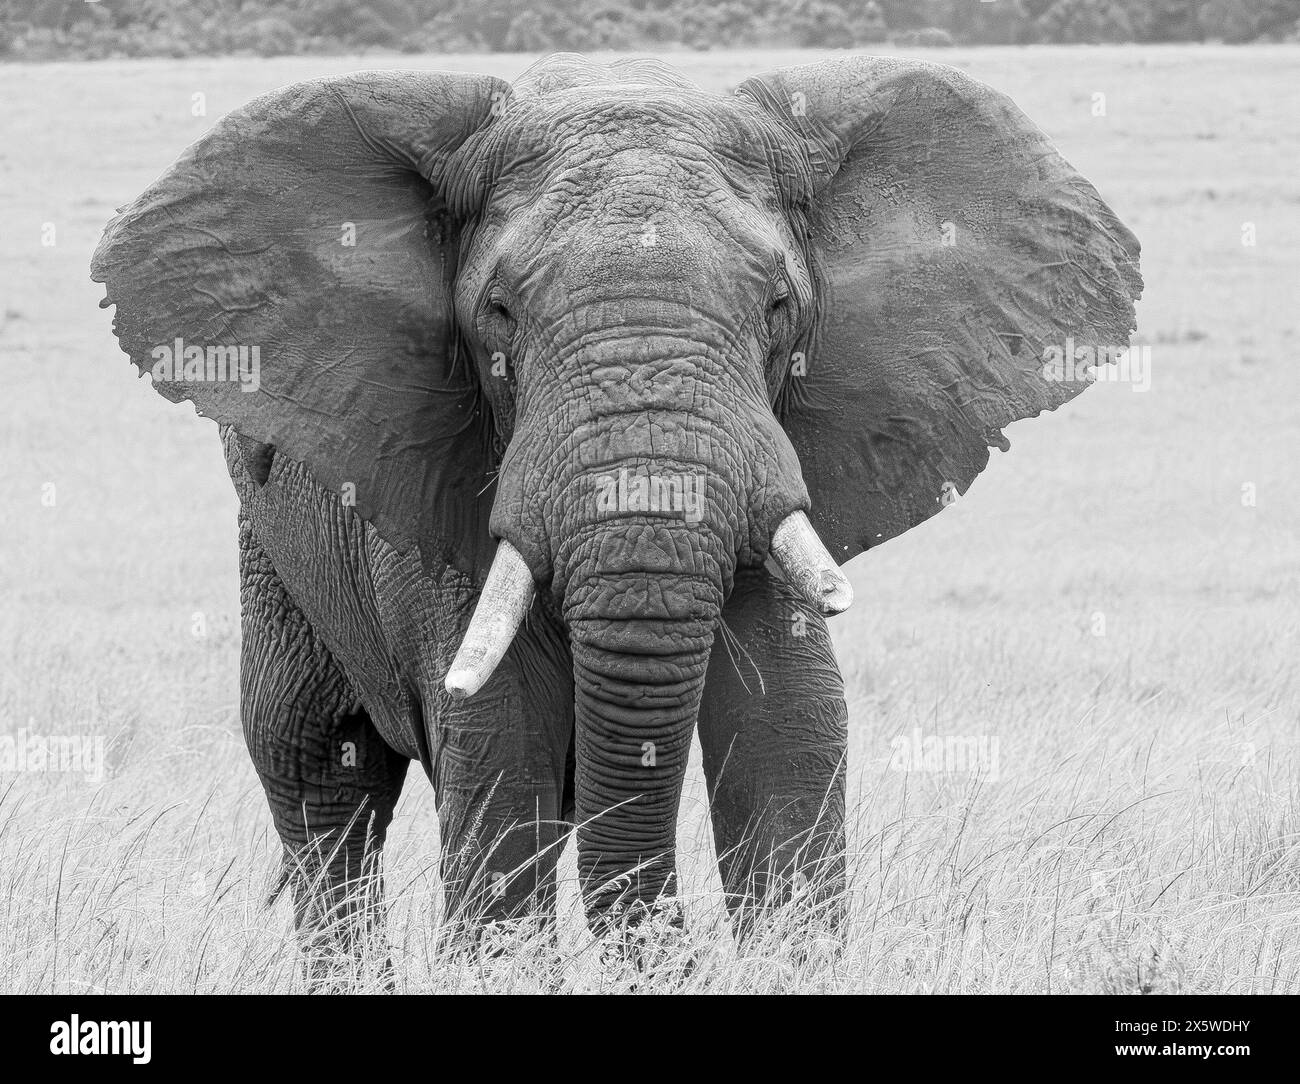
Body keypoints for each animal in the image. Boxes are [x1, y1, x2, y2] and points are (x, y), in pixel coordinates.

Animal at [91, 52, 1144, 977]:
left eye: (778, 307)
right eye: (499, 313)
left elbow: (791, 727)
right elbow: (499, 739)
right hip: (271, 541)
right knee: (318, 772)